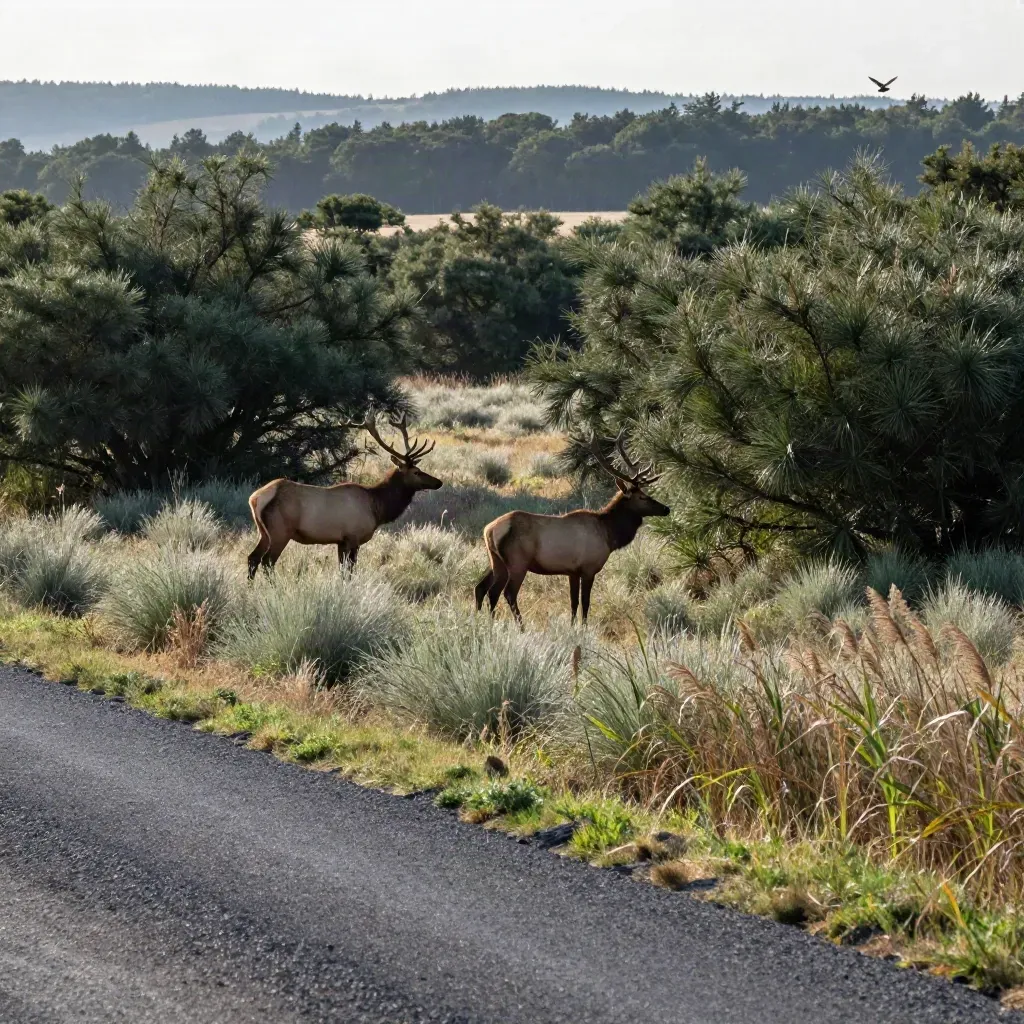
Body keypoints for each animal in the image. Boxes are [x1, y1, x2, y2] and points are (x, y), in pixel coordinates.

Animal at [246, 412, 442, 579]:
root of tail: (255, 498)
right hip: (280, 531)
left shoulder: (340, 541)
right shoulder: (353, 537)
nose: (438, 482)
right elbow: (349, 571)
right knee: (267, 562)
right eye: (416, 472)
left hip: (263, 532)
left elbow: (342, 571)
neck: (377, 507)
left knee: (252, 558)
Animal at [474, 430, 670, 626]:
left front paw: (572, 626)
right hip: (517, 562)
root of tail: (489, 529)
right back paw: (520, 626)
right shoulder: (589, 568)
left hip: (496, 560)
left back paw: (485, 622)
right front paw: (584, 627)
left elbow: (573, 602)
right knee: (507, 593)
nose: (666, 509)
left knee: (483, 588)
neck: (609, 534)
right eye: (642, 497)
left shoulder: (572, 571)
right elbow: (585, 602)